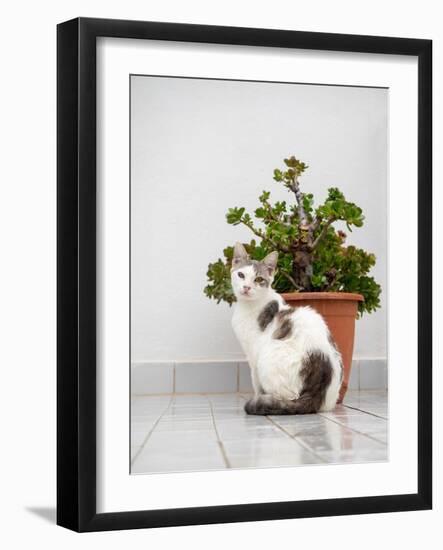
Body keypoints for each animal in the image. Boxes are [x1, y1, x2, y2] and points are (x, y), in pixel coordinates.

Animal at [232, 244, 344, 416]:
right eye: (241, 275)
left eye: (259, 279)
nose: (246, 287)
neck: (249, 305)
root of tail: (317, 395)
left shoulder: (253, 355)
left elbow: (255, 382)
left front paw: (257, 396)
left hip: (268, 359)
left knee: (287, 398)